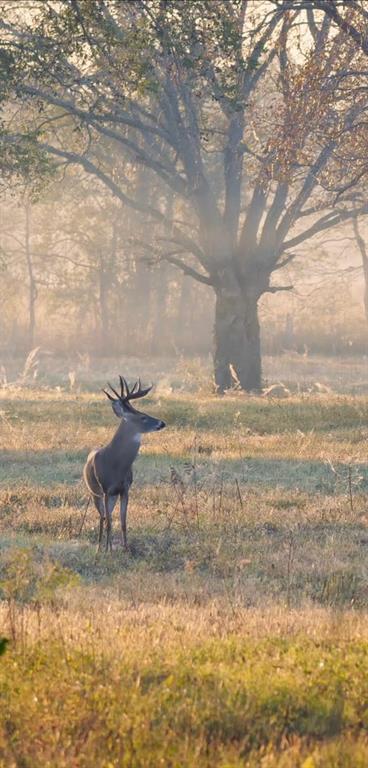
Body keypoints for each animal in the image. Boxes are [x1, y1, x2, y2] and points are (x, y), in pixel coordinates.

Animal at [83, 376, 165, 552]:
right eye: (143, 417)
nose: (162, 423)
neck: (116, 465)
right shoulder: (106, 489)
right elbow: (109, 523)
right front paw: (109, 551)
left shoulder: (124, 489)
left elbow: (123, 522)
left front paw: (126, 549)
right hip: (95, 493)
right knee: (102, 518)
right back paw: (100, 548)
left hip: (111, 496)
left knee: (106, 517)